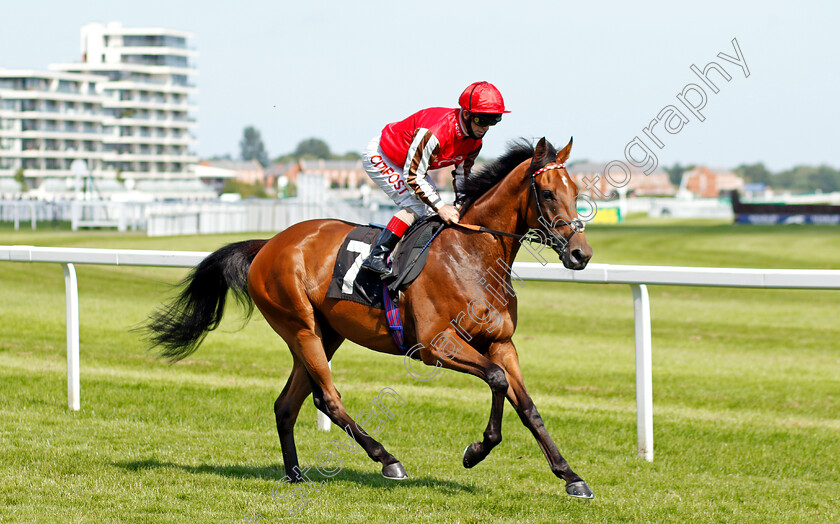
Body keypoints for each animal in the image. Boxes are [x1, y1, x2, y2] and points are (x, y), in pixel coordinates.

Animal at [143, 137, 596, 498]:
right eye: (548, 193)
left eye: (576, 190)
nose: (581, 254)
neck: (471, 257)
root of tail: (269, 244)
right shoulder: (436, 346)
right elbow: (498, 381)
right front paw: (476, 451)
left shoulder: (501, 343)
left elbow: (528, 407)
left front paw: (571, 476)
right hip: (301, 327)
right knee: (327, 397)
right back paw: (387, 459)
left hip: (325, 334)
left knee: (288, 404)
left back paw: (295, 474)